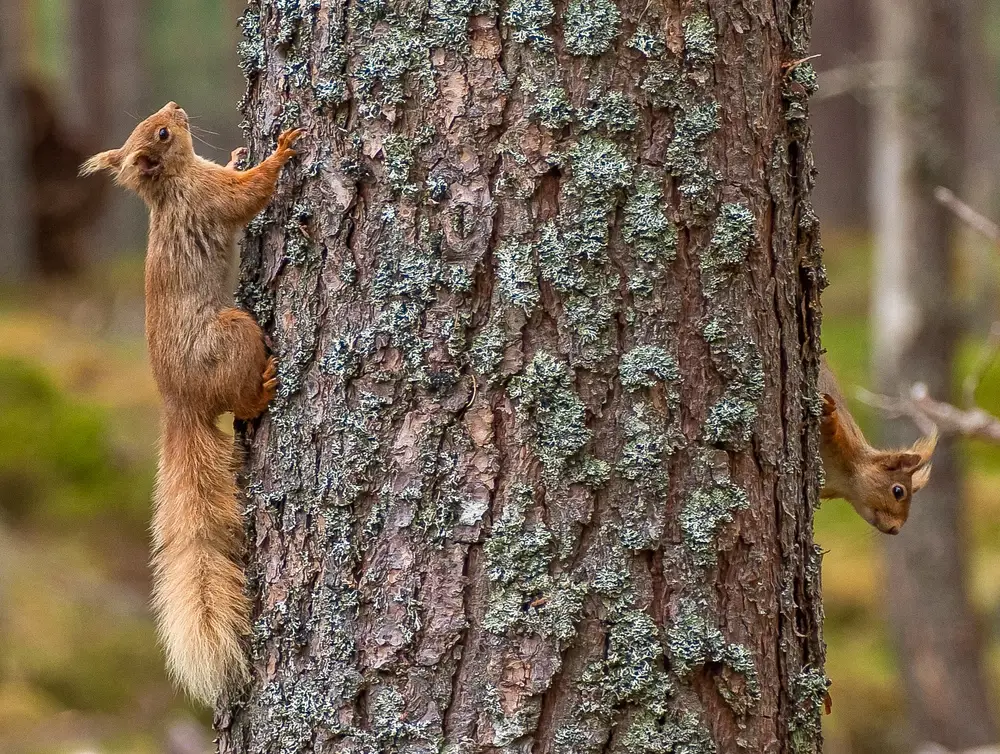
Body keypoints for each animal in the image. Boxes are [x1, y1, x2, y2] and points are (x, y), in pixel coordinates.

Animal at [80, 102, 302, 705]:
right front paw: (281, 150)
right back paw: (265, 386)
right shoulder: (210, 198)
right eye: (161, 133)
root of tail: (178, 403)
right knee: (242, 405)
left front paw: (239, 151)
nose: (176, 109)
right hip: (233, 333)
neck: (174, 183)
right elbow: (249, 196)